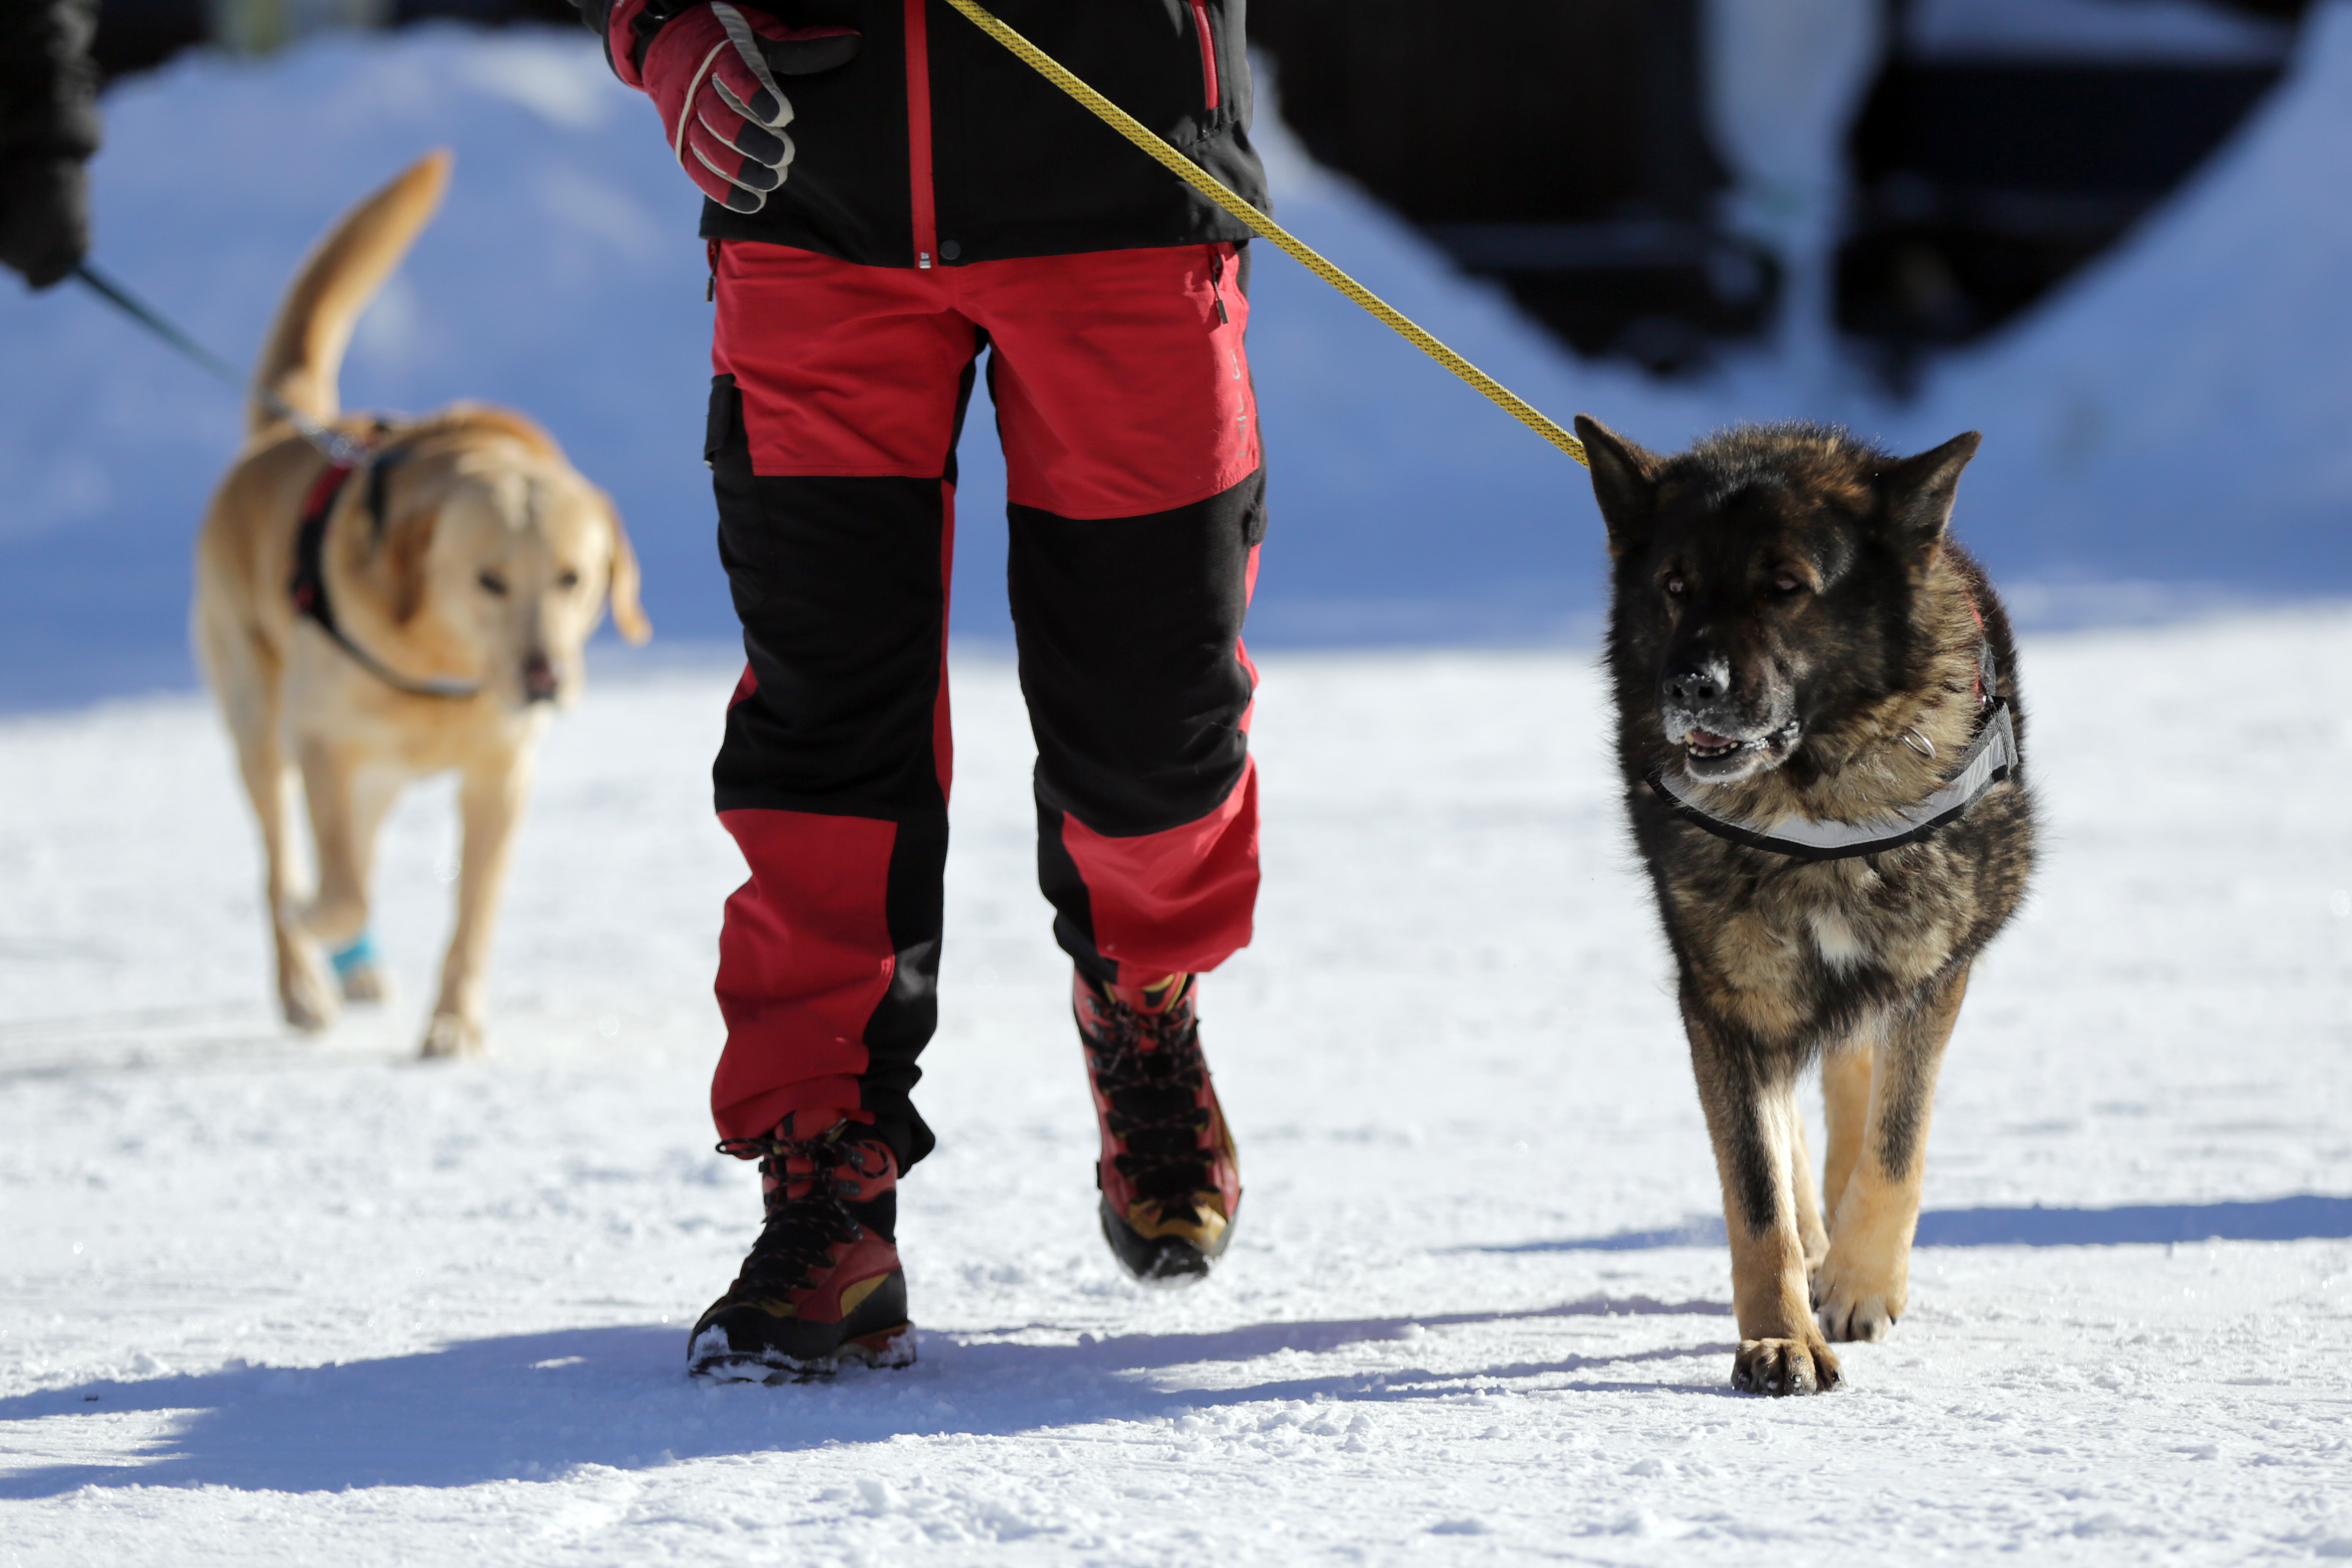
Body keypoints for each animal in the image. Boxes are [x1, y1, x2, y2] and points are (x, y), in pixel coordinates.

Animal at [192, 152, 649, 1062]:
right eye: (488, 579)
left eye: (573, 578)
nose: (545, 677)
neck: (444, 669)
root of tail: (285, 432)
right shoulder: (323, 740)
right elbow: (334, 890)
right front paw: (317, 921)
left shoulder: (501, 777)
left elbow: (471, 914)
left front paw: (453, 1023)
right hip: (260, 724)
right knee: (282, 862)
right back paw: (303, 982)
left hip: (374, 773)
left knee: (354, 850)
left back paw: (357, 971)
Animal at [1580, 416, 2041, 1401]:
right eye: (1673, 586)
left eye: (1785, 587)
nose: (1690, 684)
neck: (1811, 797)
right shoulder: (1723, 1001)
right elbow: (1755, 1189)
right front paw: (1778, 1336)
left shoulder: (1929, 974)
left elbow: (1894, 1143)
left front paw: (1861, 1281)